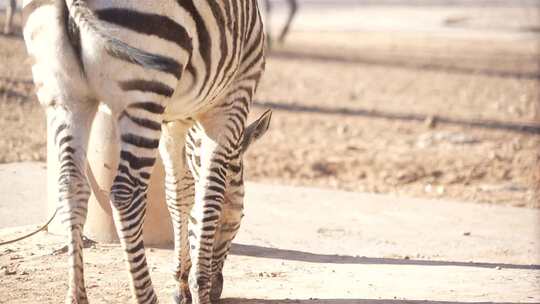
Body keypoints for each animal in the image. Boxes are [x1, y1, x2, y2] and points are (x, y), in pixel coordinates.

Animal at [23, 0, 270, 304]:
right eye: (237, 219)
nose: (218, 291)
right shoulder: (232, 98)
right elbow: (208, 197)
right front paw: (199, 286)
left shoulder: (174, 122)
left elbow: (179, 194)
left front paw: (181, 283)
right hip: (144, 86)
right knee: (125, 193)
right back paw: (146, 296)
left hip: (65, 97)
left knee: (71, 188)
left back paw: (77, 296)